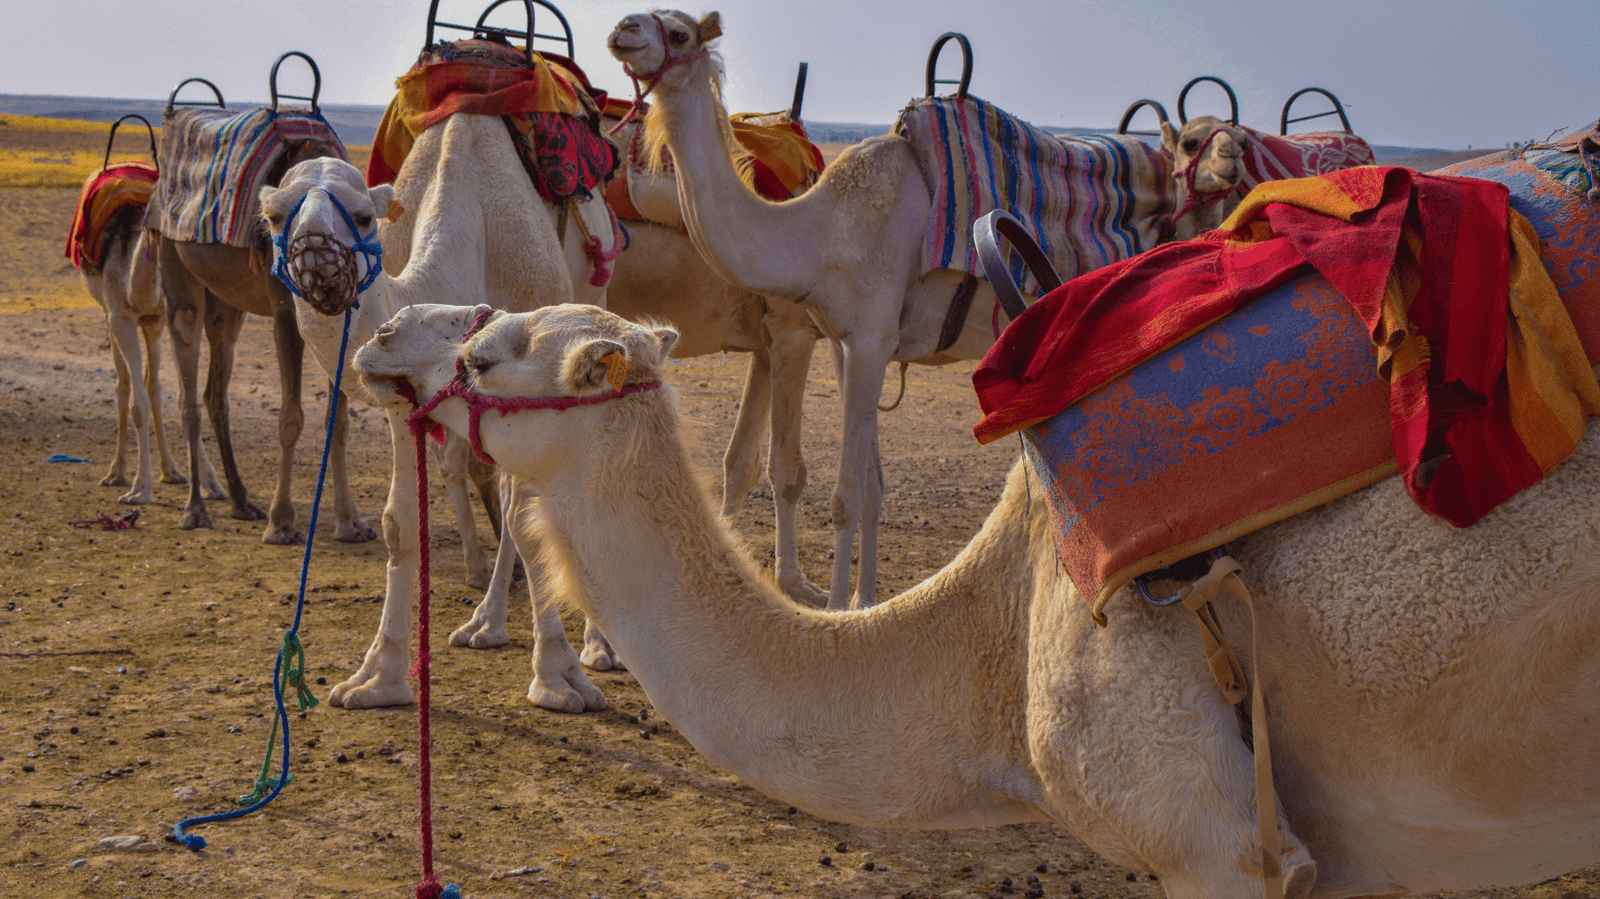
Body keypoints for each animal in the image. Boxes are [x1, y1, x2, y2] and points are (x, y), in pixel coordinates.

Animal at [606, 11, 1167, 609]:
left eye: (680, 33)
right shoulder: (845, 341)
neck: (819, 231)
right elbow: (873, 488)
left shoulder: (868, 339)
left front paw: (835, 611)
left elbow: (846, 496)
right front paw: (865, 602)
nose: (624, 29)